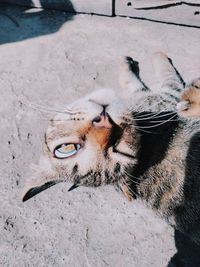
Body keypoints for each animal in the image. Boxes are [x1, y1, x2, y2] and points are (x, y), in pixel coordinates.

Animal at [22, 51, 200, 245]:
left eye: (66, 148)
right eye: (119, 150)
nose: (104, 121)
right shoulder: (166, 96)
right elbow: (163, 76)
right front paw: (154, 56)